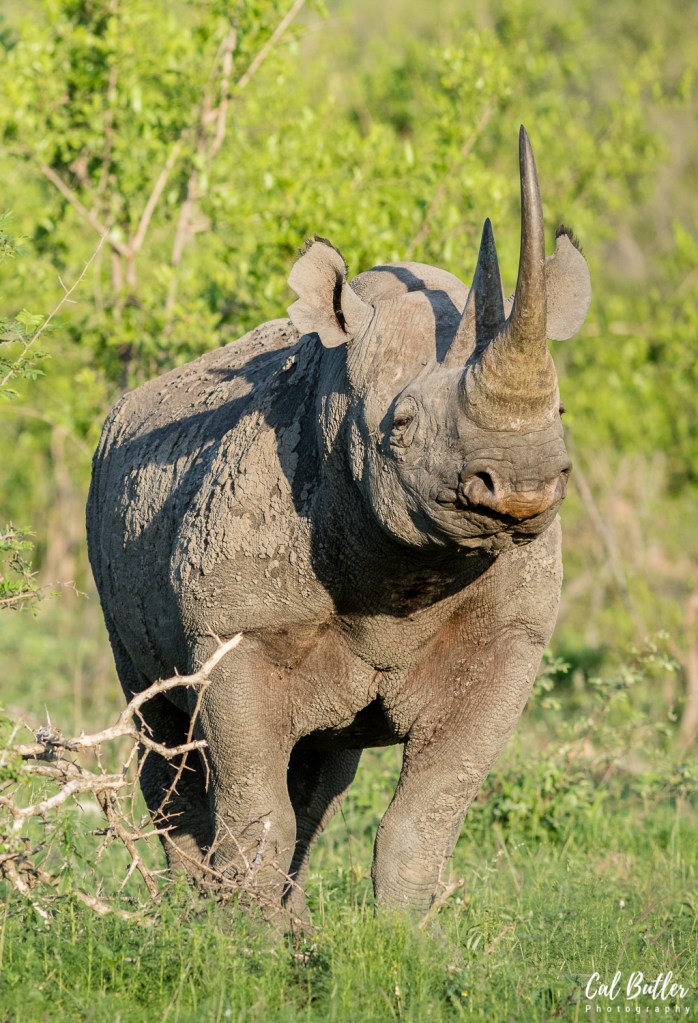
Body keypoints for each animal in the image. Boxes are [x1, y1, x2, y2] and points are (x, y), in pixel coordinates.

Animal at [87, 127, 591, 920]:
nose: (521, 485)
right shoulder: (239, 628)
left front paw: (404, 941)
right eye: (402, 426)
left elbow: (424, 818)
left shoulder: (510, 638)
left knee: (322, 774)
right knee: (164, 732)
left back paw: (287, 923)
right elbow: (255, 809)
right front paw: (239, 940)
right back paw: (189, 911)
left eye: (560, 411)